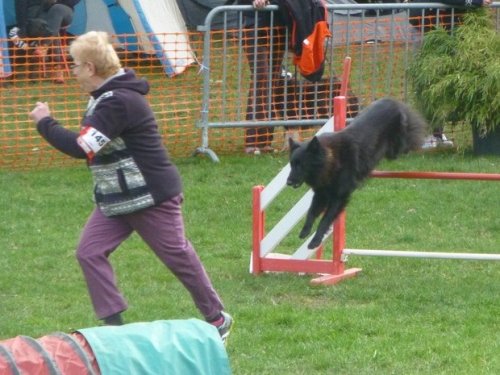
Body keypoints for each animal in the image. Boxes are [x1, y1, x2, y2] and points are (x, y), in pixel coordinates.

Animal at [286, 97, 426, 250]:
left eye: (301, 165)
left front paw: (315, 240)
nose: (288, 182)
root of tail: (391, 100)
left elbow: (325, 220)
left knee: (405, 146)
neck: (332, 159)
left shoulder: (338, 197)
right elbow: (311, 213)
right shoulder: (321, 193)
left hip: (397, 146)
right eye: (292, 164)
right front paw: (305, 231)